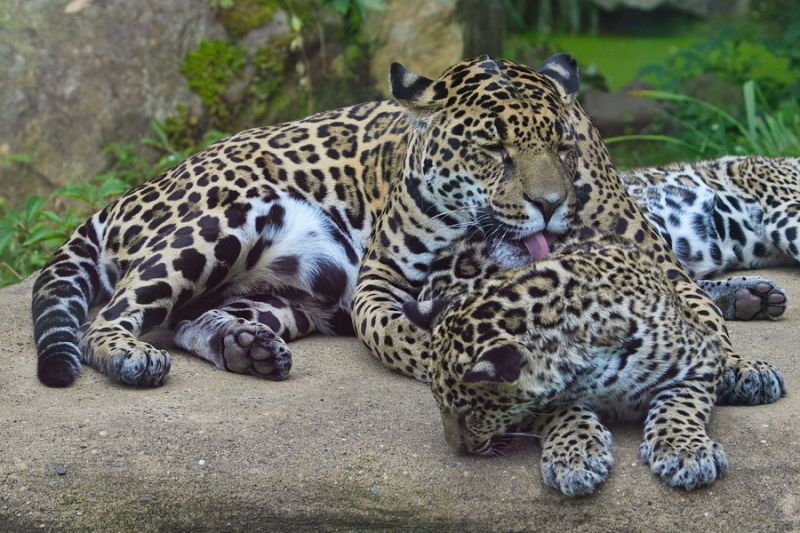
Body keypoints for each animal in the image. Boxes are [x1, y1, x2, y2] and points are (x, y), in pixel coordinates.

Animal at [403, 230, 728, 495]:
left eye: (466, 412)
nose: (458, 449)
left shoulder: (702, 359)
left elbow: (680, 405)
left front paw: (685, 452)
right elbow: (561, 412)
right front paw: (576, 456)